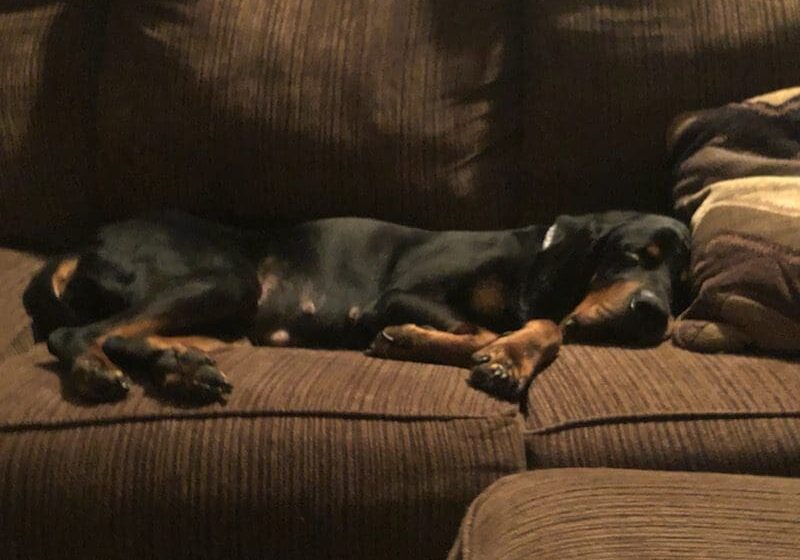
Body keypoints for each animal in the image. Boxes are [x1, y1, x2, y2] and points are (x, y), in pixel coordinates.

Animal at [25, 210, 688, 402]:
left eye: (683, 282)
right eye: (636, 254)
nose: (655, 313)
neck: (539, 257)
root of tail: (83, 243)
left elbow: (544, 325)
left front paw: (512, 358)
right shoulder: (399, 294)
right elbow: (497, 326)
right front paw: (414, 340)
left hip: (224, 314)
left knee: (126, 335)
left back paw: (182, 370)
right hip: (223, 278)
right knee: (82, 335)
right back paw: (100, 371)